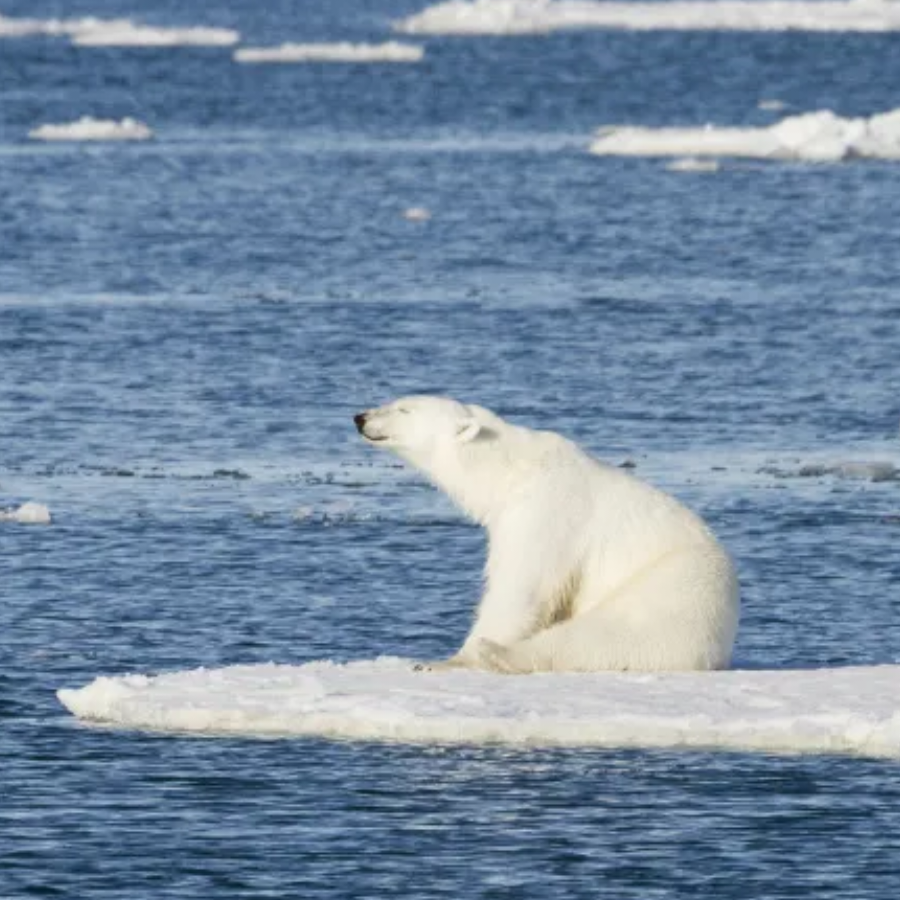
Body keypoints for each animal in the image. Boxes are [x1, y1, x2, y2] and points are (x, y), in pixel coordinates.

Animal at [352, 398, 740, 672]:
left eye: (404, 408)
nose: (361, 417)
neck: (511, 470)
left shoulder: (548, 513)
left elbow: (522, 588)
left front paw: (449, 659)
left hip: (671, 593)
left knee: (601, 635)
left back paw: (496, 653)